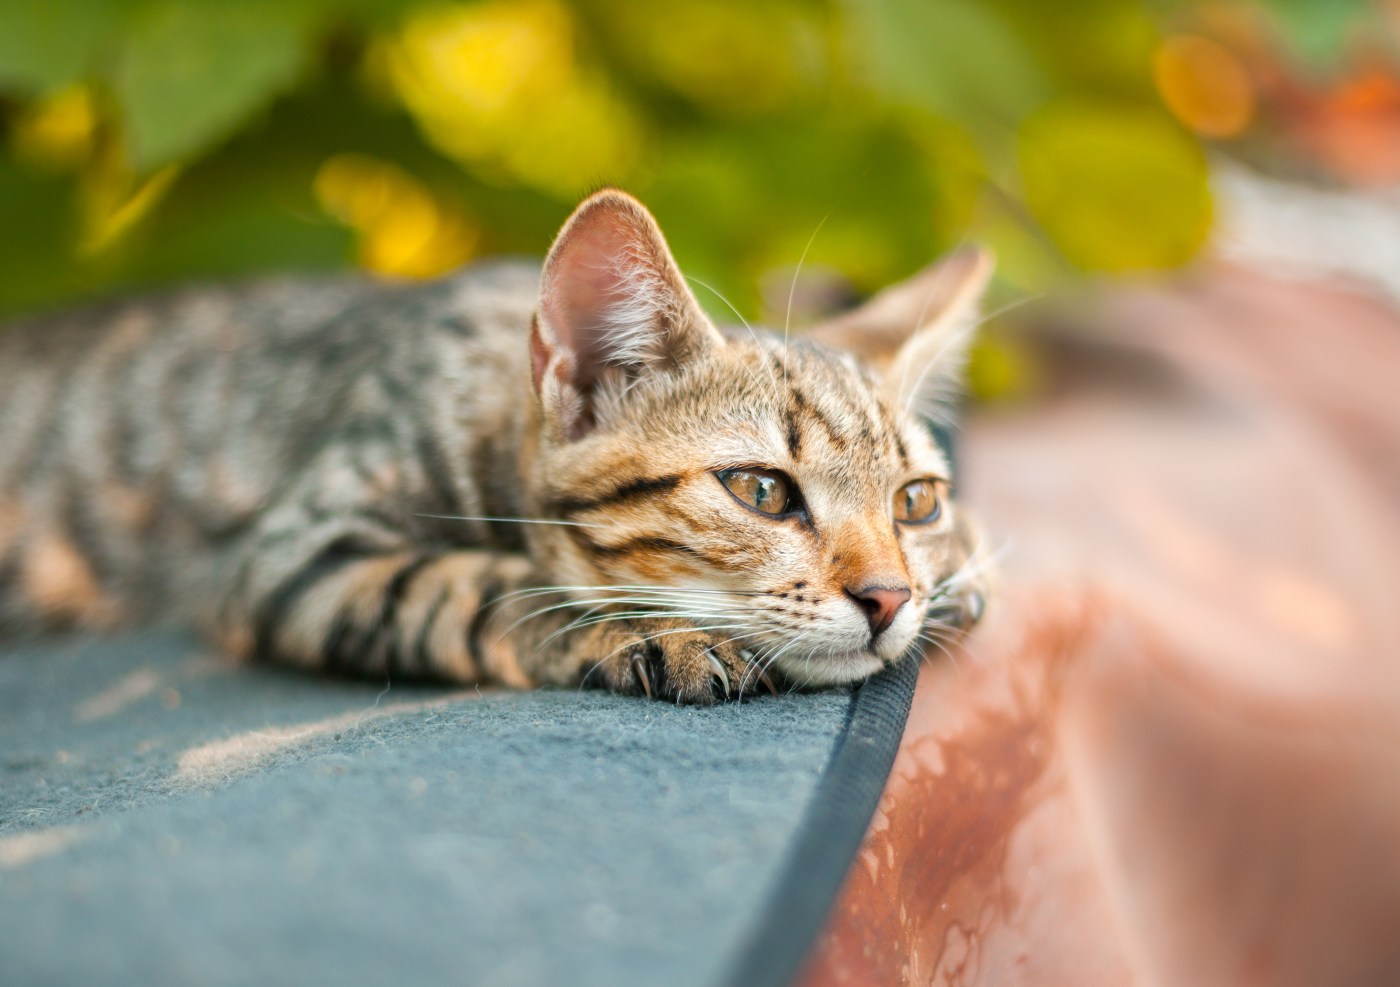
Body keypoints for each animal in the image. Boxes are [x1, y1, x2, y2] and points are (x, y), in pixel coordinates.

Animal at [0, 190, 985, 700]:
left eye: (915, 502)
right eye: (763, 491)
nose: (890, 597)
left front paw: (962, 575)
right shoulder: (295, 549)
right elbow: (479, 581)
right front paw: (646, 626)